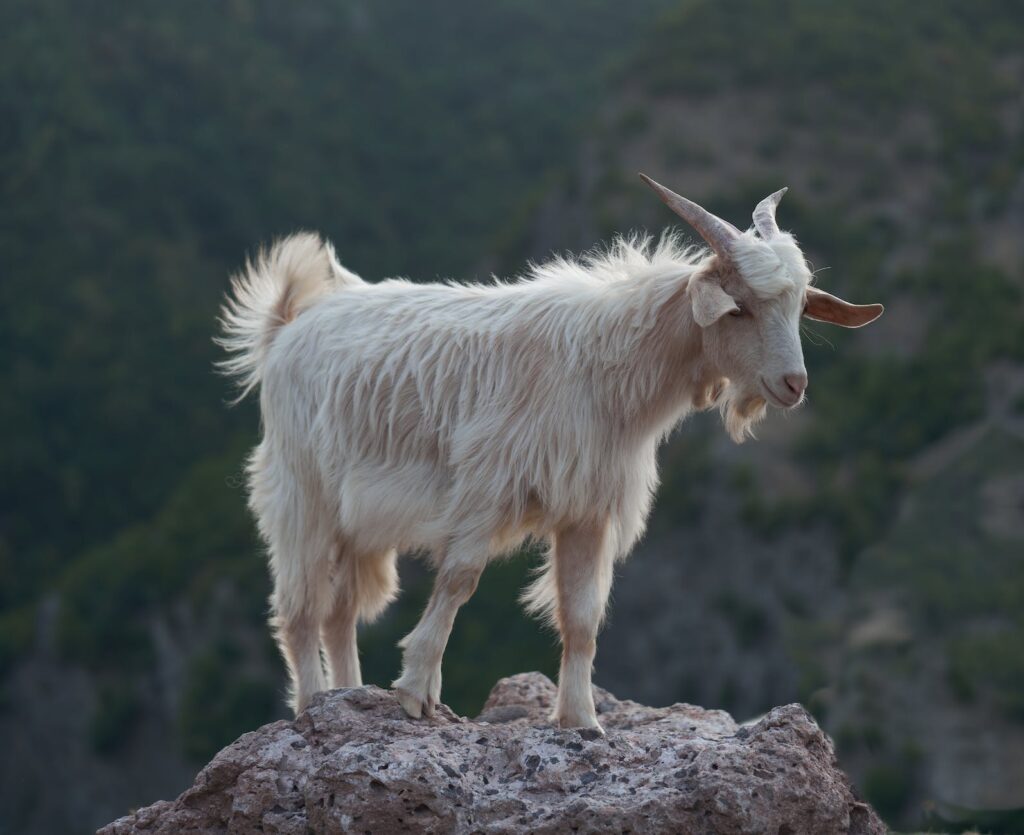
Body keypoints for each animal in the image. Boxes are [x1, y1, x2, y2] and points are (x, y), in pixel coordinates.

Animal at [214, 176, 880, 729]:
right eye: (739, 306)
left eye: (799, 306)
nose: (793, 384)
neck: (604, 370)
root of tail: (289, 324)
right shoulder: (484, 489)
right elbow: (459, 580)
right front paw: (416, 691)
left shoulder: (588, 509)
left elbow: (582, 617)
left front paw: (582, 721)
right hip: (301, 493)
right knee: (300, 610)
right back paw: (312, 706)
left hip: (358, 520)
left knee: (340, 611)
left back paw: (347, 697)